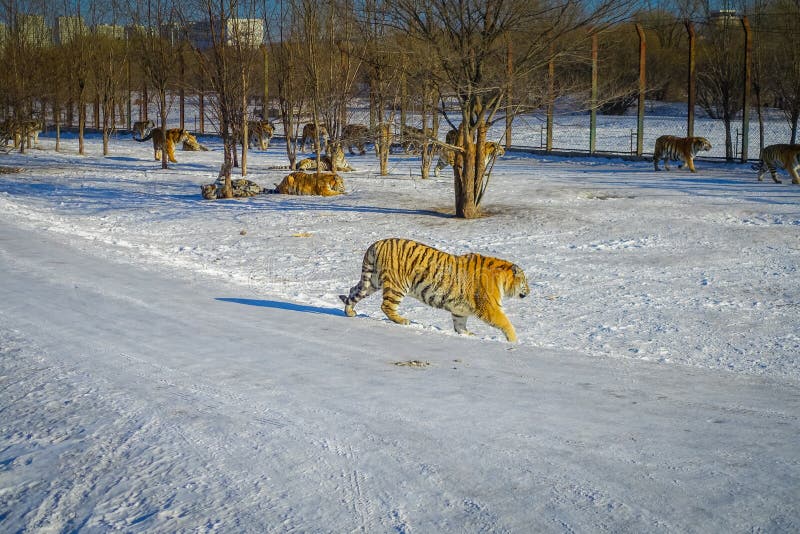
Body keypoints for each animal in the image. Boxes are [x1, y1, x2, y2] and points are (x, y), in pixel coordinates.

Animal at [340, 239, 528, 344]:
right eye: (525, 282)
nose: (530, 291)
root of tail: (377, 243)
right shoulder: (490, 307)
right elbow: (505, 323)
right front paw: (515, 341)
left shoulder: (459, 310)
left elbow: (460, 325)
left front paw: (468, 334)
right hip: (397, 286)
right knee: (386, 306)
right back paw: (403, 321)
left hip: (372, 281)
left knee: (353, 291)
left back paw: (350, 312)